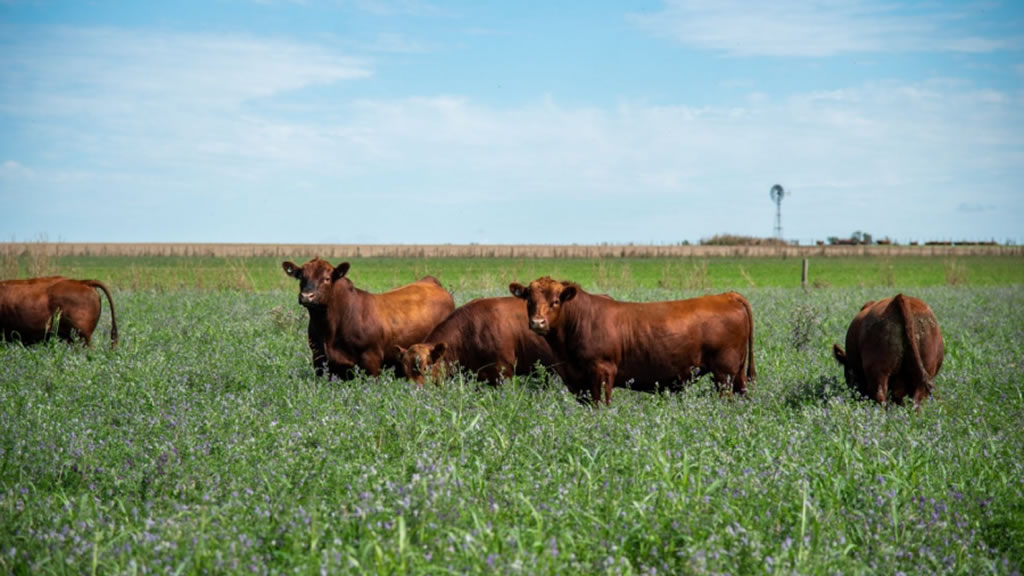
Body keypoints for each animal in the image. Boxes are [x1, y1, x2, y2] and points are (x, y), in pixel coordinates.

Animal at [282, 258, 454, 379]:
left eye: (326, 278)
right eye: (301, 277)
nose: (307, 296)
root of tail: (430, 281)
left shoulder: (371, 361)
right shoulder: (319, 360)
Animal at [505, 274, 753, 403]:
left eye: (556, 301)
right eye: (529, 300)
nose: (537, 323)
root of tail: (727, 296)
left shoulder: (602, 372)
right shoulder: (578, 381)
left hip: (724, 372)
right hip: (737, 373)